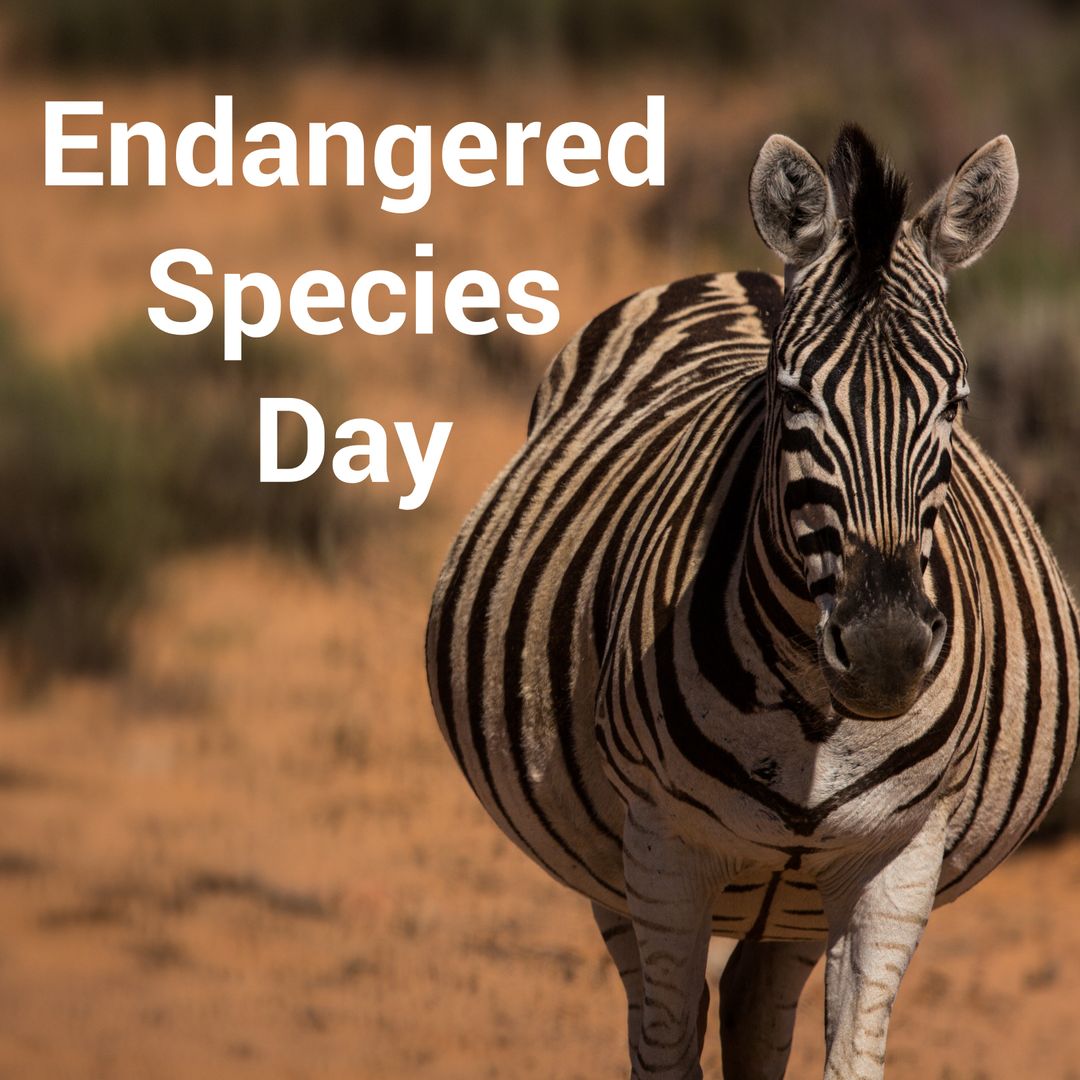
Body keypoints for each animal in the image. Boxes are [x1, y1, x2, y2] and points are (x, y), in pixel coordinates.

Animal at [426, 125, 1080, 1078]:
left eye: (956, 402)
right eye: (792, 395)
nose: (887, 653)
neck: (813, 715)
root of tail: (743, 272)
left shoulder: (898, 857)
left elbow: (850, 1057)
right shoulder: (662, 848)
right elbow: (666, 1050)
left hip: (796, 895)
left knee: (752, 1006)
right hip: (610, 863)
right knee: (675, 1015)